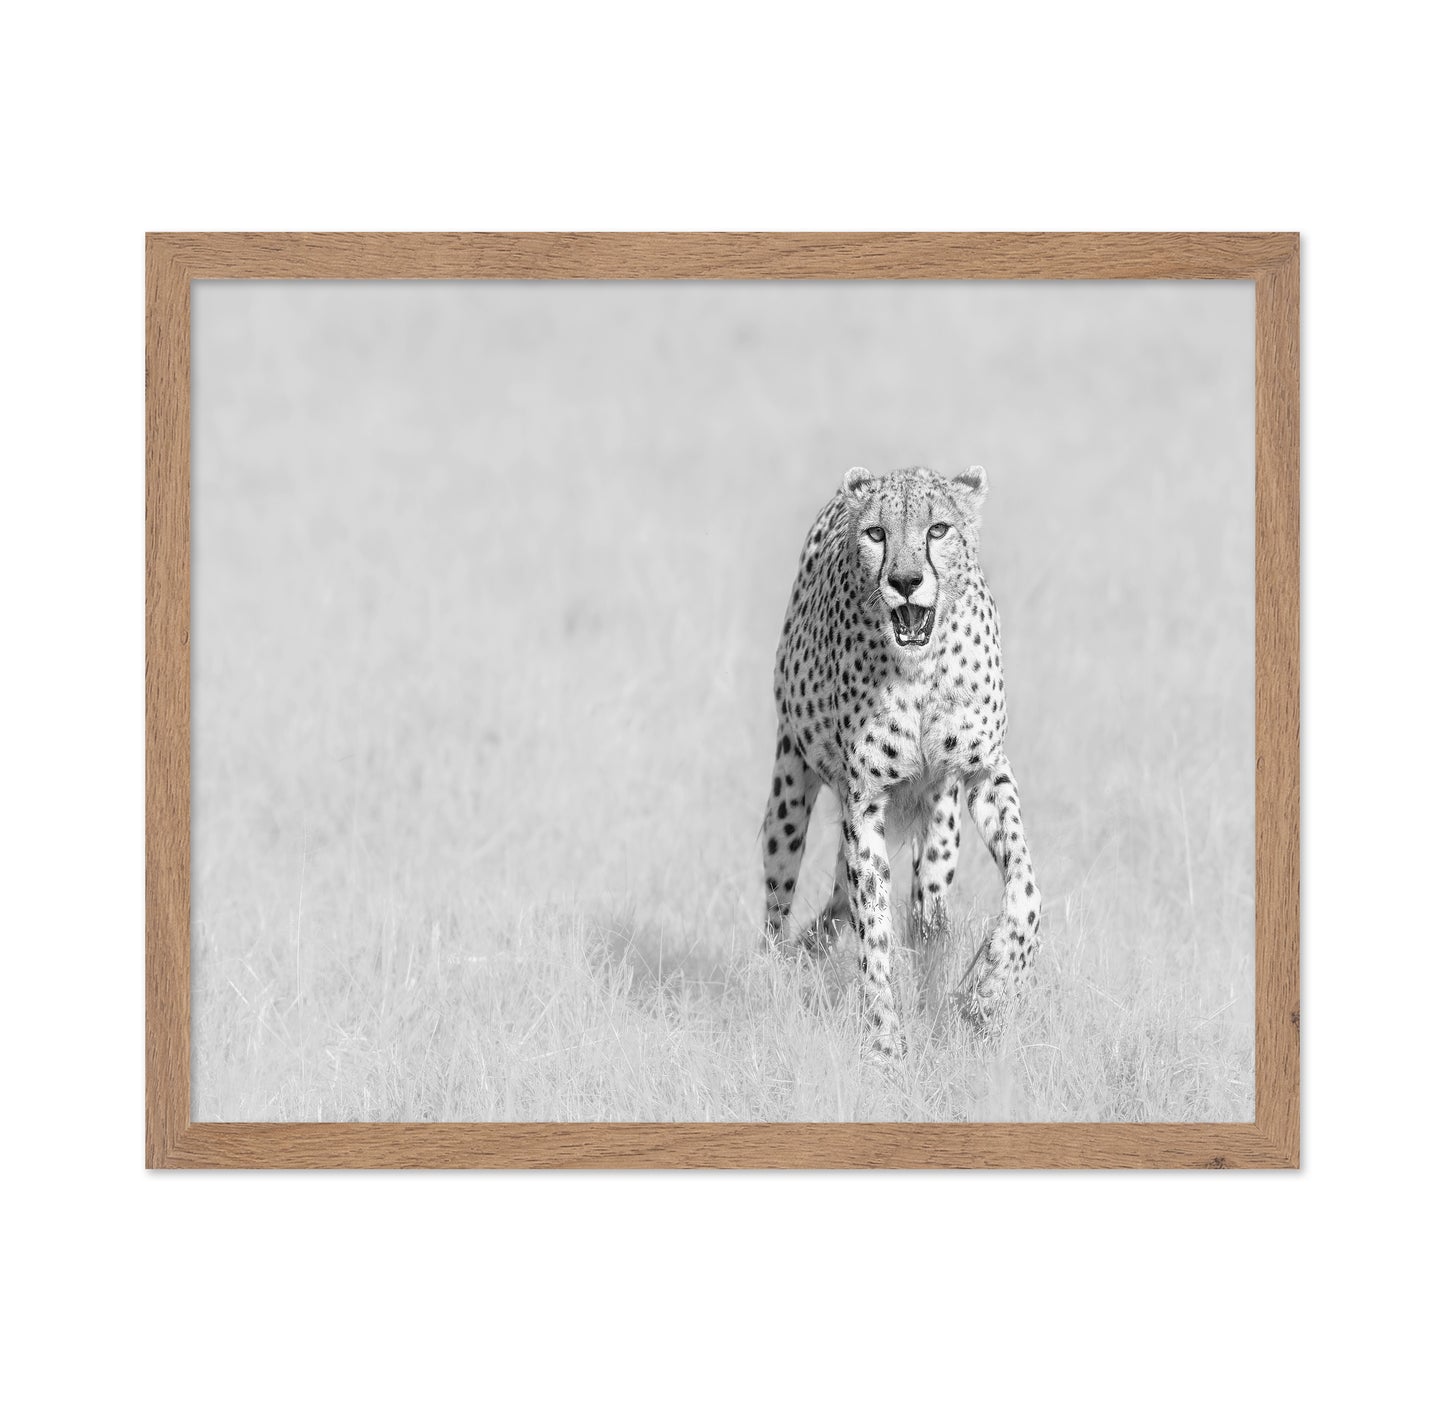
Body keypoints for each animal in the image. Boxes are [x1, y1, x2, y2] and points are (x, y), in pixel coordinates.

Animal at [761, 465, 1041, 1057]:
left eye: (938, 529)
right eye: (876, 534)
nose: (907, 581)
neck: (919, 668)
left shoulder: (985, 772)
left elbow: (1027, 890)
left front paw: (990, 988)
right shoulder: (864, 800)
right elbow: (873, 928)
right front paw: (885, 1044)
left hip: (940, 831)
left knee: (924, 916)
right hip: (789, 791)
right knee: (779, 904)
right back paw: (773, 976)